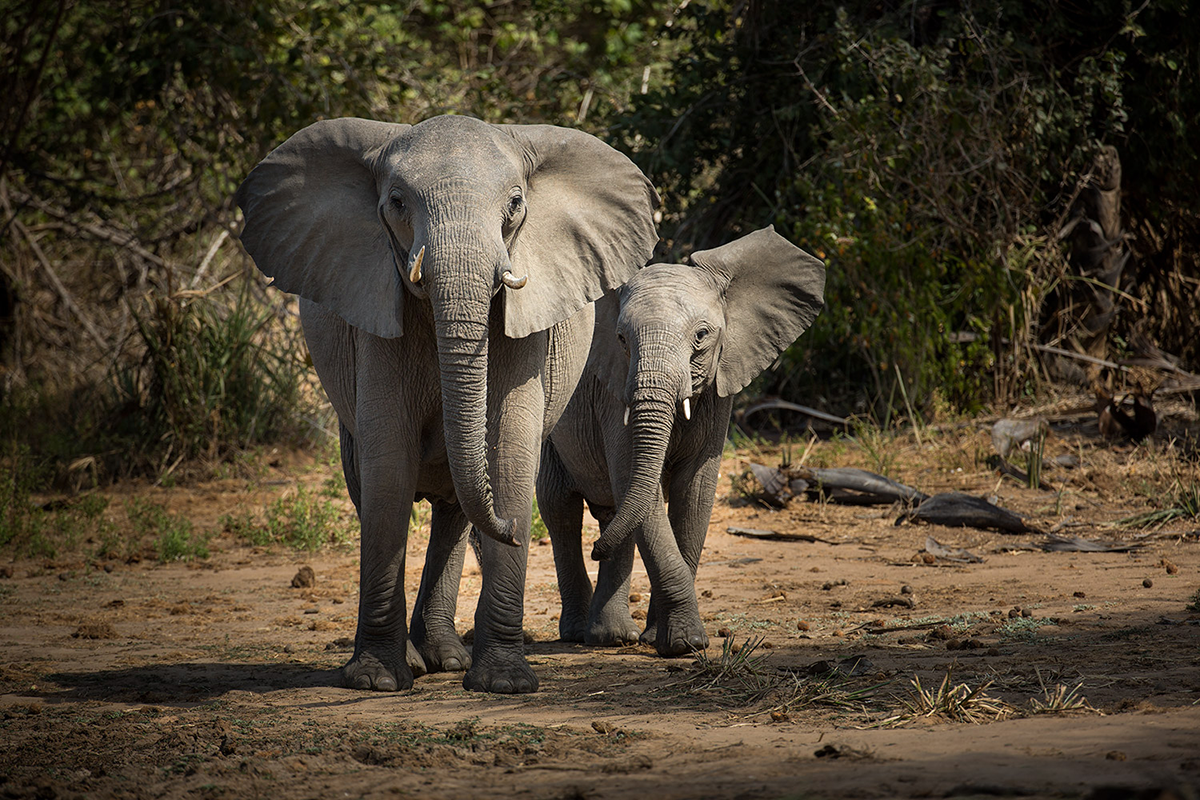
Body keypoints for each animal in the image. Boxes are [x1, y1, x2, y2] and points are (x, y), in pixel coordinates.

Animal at [236, 113, 657, 695]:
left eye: (515, 204)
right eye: (396, 203)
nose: (510, 530)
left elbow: (508, 447)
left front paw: (503, 684)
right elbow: (388, 463)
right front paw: (376, 681)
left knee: (454, 508)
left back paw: (447, 659)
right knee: (370, 486)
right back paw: (419, 663)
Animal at [537, 226, 825, 657]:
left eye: (701, 336)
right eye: (621, 338)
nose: (596, 548)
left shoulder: (720, 387)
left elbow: (695, 492)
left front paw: (669, 641)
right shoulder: (614, 391)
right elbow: (637, 482)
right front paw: (686, 643)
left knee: (614, 512)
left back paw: (613, 635)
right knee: (560, 507)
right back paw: (584, 634)